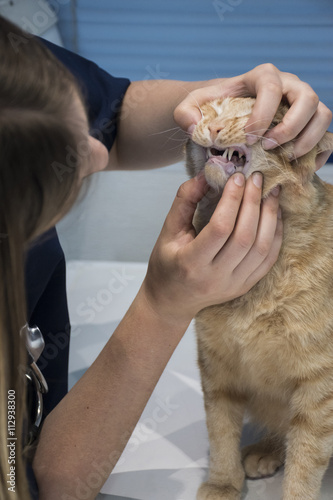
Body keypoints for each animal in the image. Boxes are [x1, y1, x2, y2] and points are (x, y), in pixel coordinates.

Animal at [185, 94, 332, 500]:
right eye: (214, 108)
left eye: (264, 120)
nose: (215, 127)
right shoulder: (216, 365)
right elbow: (220, 430)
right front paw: (223, 482)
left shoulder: (319, 386)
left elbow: (307, 455)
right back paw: (265, 451)